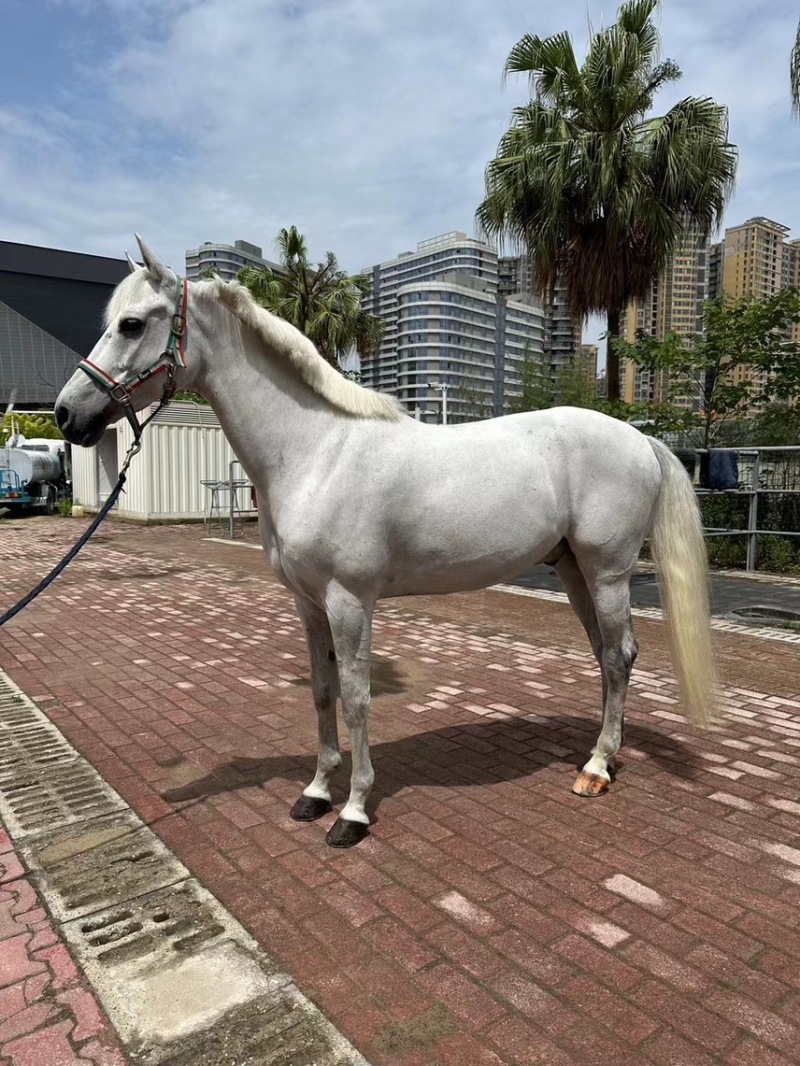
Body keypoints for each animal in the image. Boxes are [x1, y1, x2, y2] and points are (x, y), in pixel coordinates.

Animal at [55, 237, 716, 848]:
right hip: (574, 570)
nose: (66, 415)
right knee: (606, 657)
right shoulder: (308, 603)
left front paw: (352, 812)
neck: (316, 451)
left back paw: (598, 767)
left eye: (132, 323)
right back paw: (601, 757)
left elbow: (356, 698)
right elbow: (321, 692)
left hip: (607, 572)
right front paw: (316, 792)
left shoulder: (350, 602)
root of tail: (637, 438)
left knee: (620, 655)